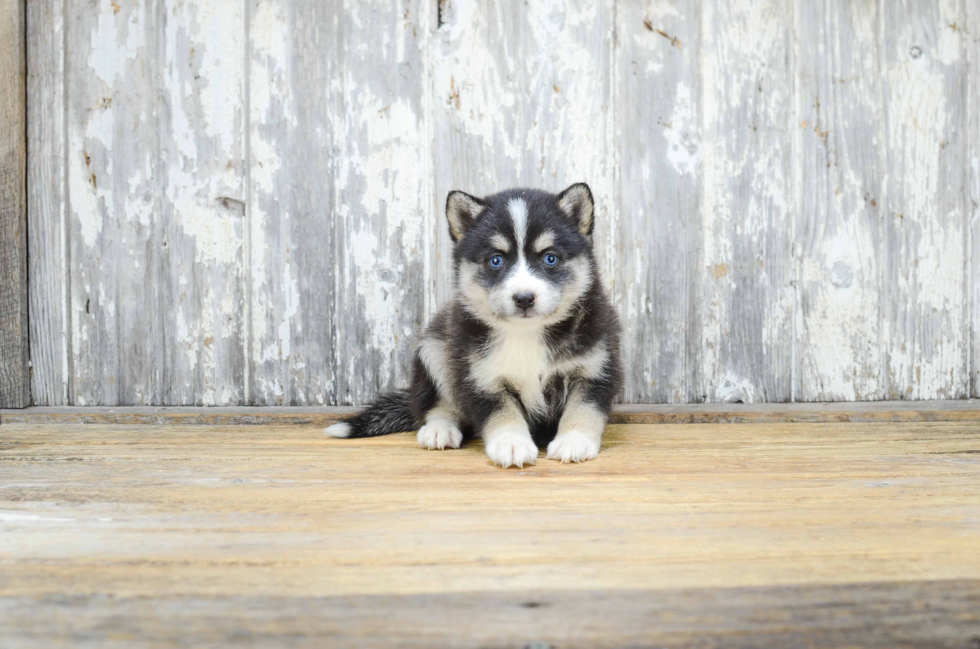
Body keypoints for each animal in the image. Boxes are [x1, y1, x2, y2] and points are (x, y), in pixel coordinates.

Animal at [326, 182, 624, 466]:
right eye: (496, 260)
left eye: (550, 258)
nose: (524, 298)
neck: (525, 333)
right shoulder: (480, 376)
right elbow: (502, 414)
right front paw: (511, 444)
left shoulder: (594, 369)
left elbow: (582, 410)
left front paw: (573, 441)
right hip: (434, 349)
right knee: (436, 405)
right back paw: (439, 430)